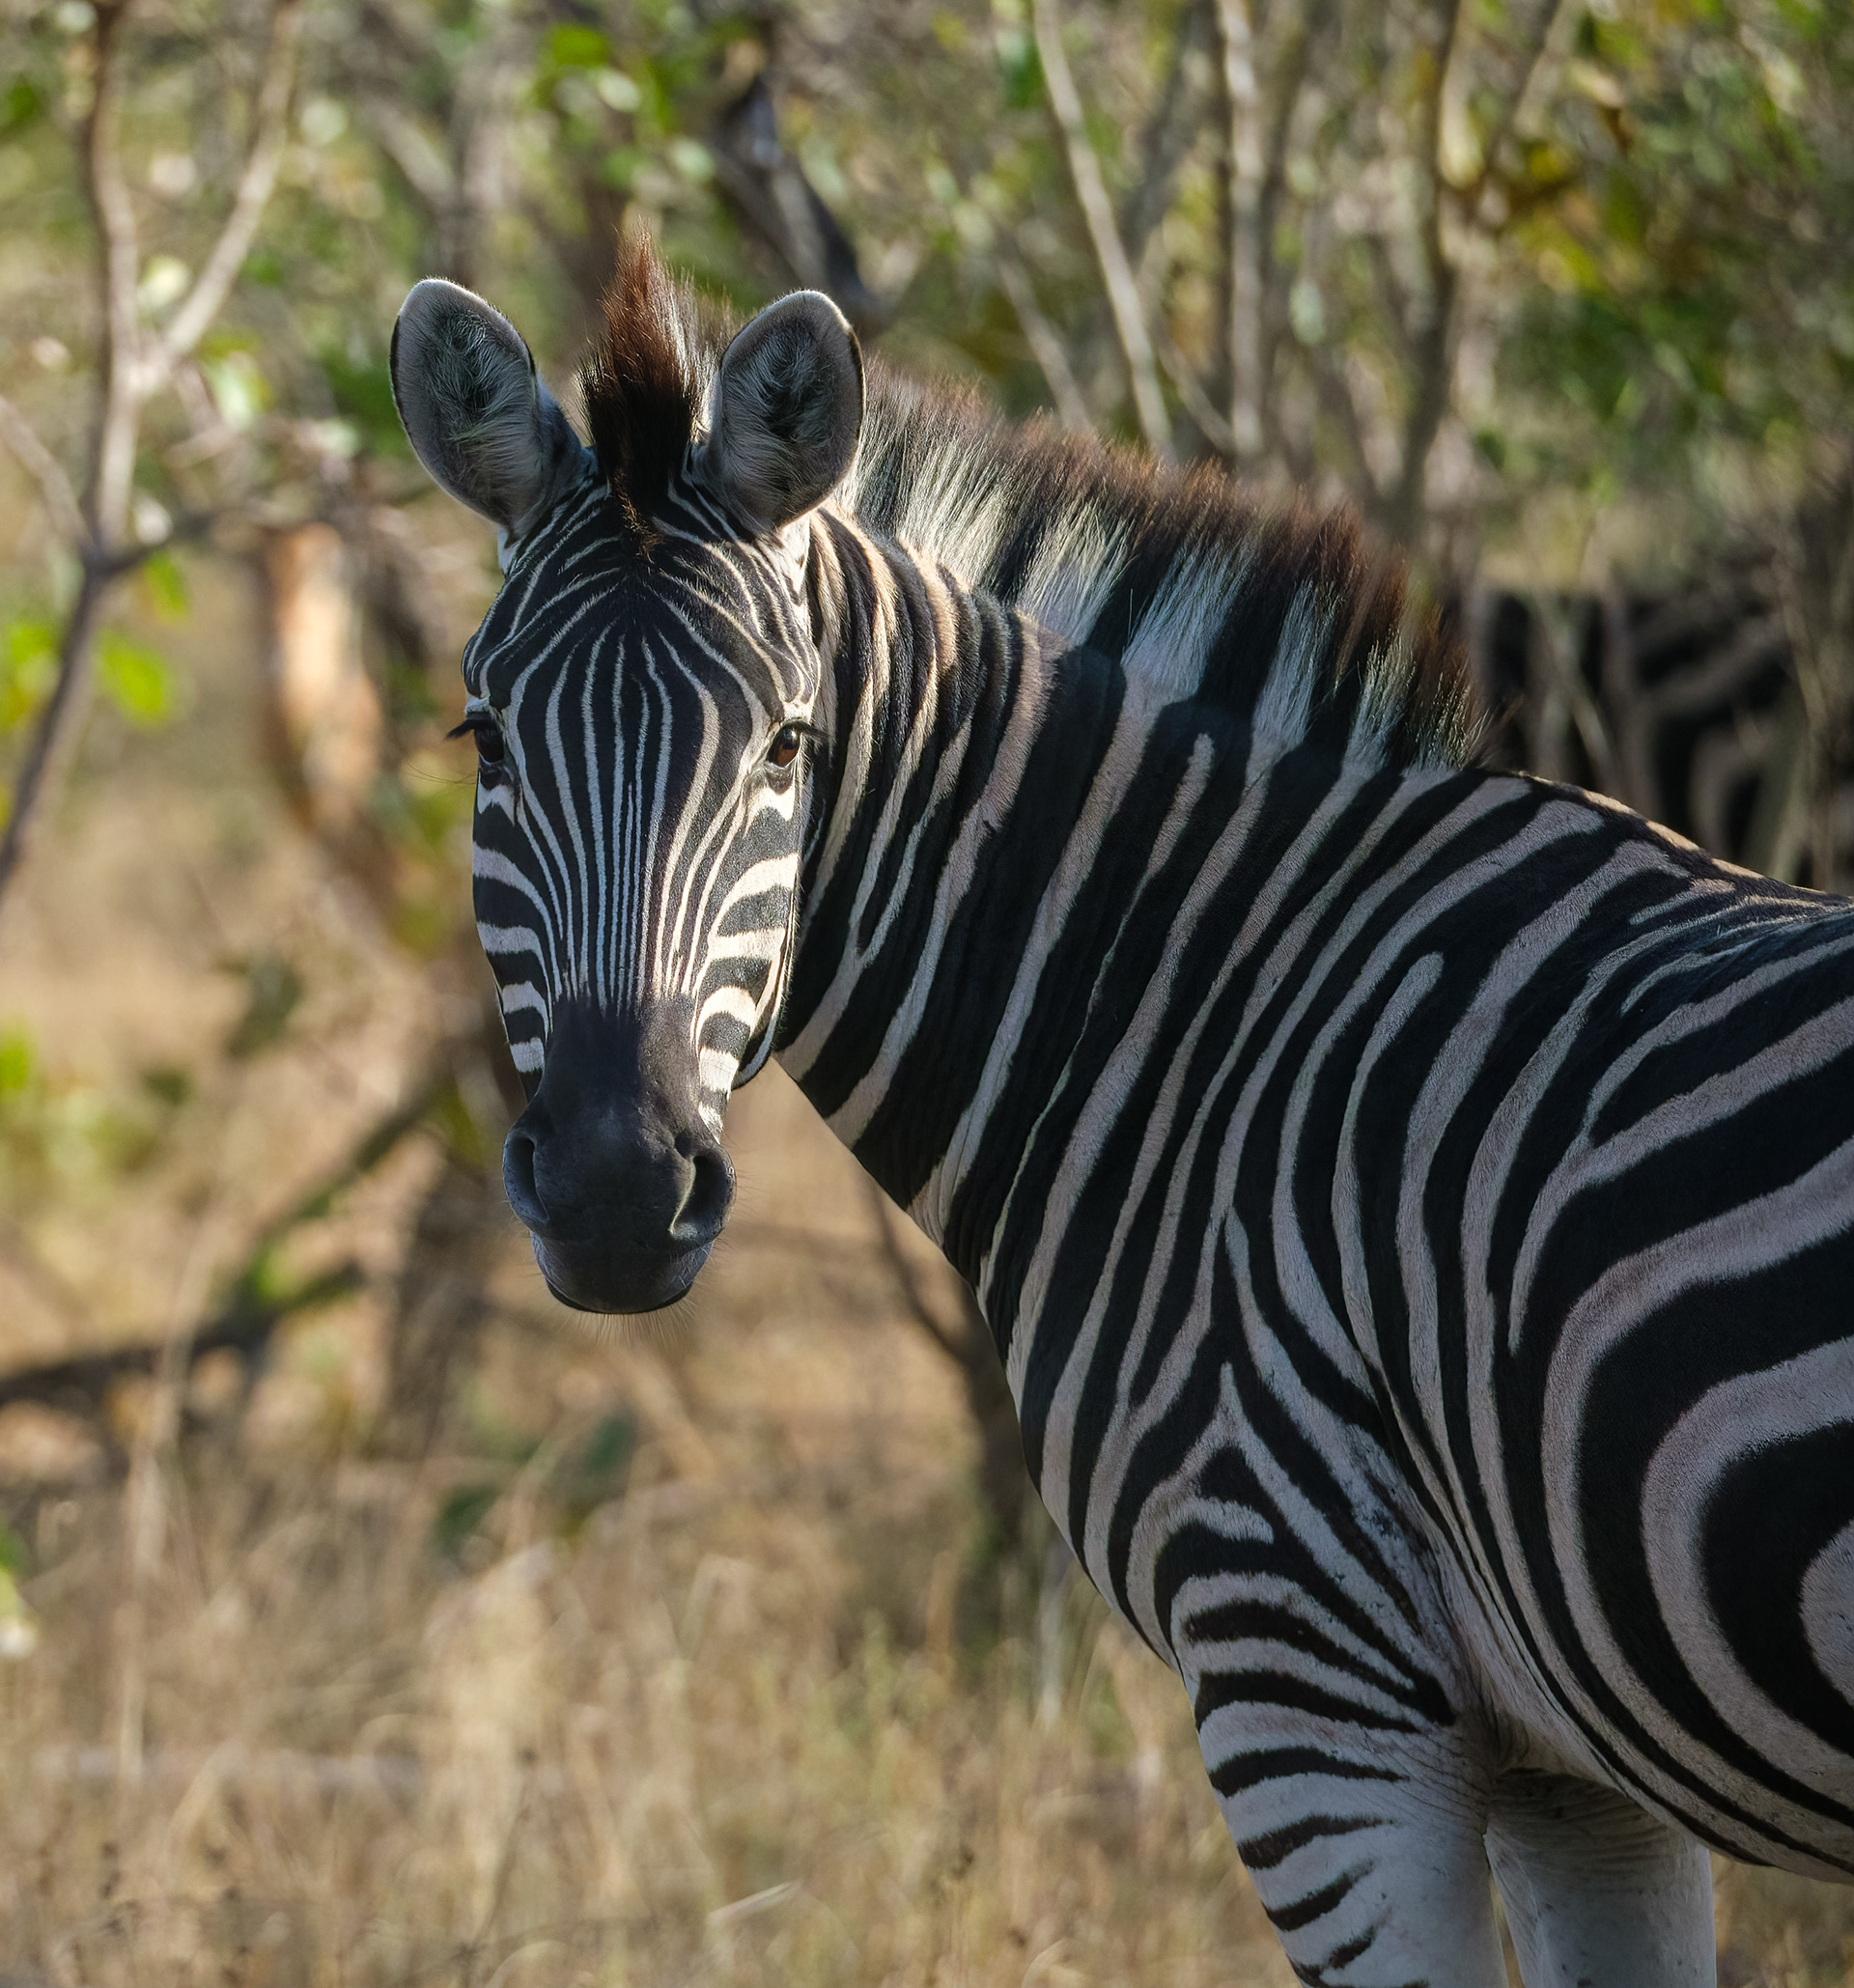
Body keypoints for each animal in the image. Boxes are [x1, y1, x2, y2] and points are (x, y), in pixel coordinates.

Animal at [390, 236, 1854, 1986]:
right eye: (485, 739)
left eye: (789, 742)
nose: (616, 1195)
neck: (1198, 1002)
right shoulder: (1577, 1770)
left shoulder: (1310, 1688)